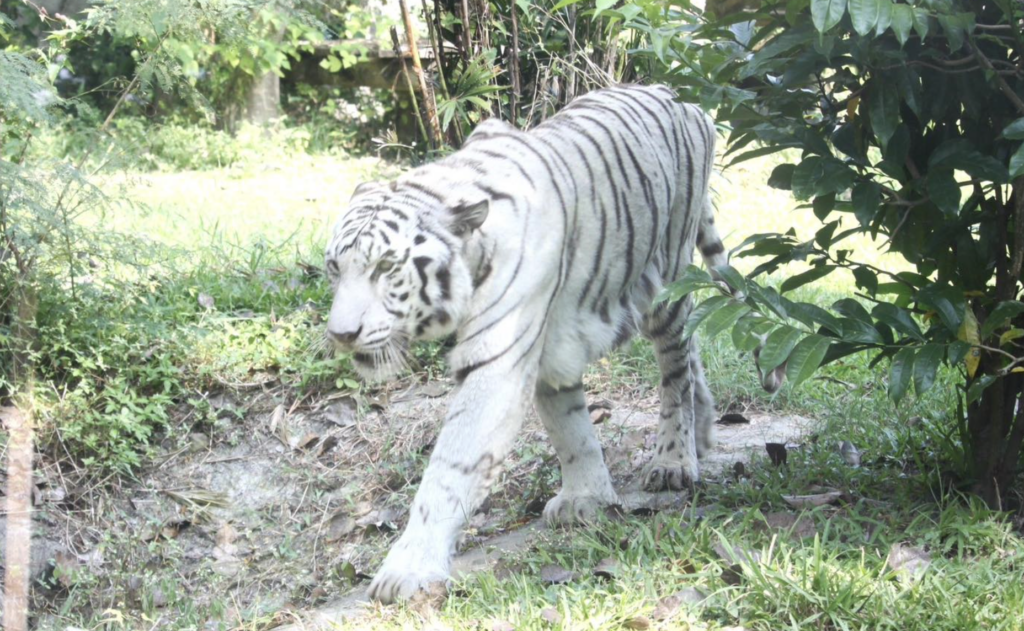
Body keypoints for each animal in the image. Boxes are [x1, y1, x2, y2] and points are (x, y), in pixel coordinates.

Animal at [324, 84, 728, 603]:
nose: (342, 334)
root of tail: (677, 94)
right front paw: (586, 498)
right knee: (691, 350)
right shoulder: (550, 346)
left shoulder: (498, 360)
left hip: (666, 278)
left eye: (386, 268)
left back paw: (675, 459)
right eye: (335, 267)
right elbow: (570, 429)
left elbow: (450, 467)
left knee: (676, 368)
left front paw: (408, 570)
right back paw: (703, 433)